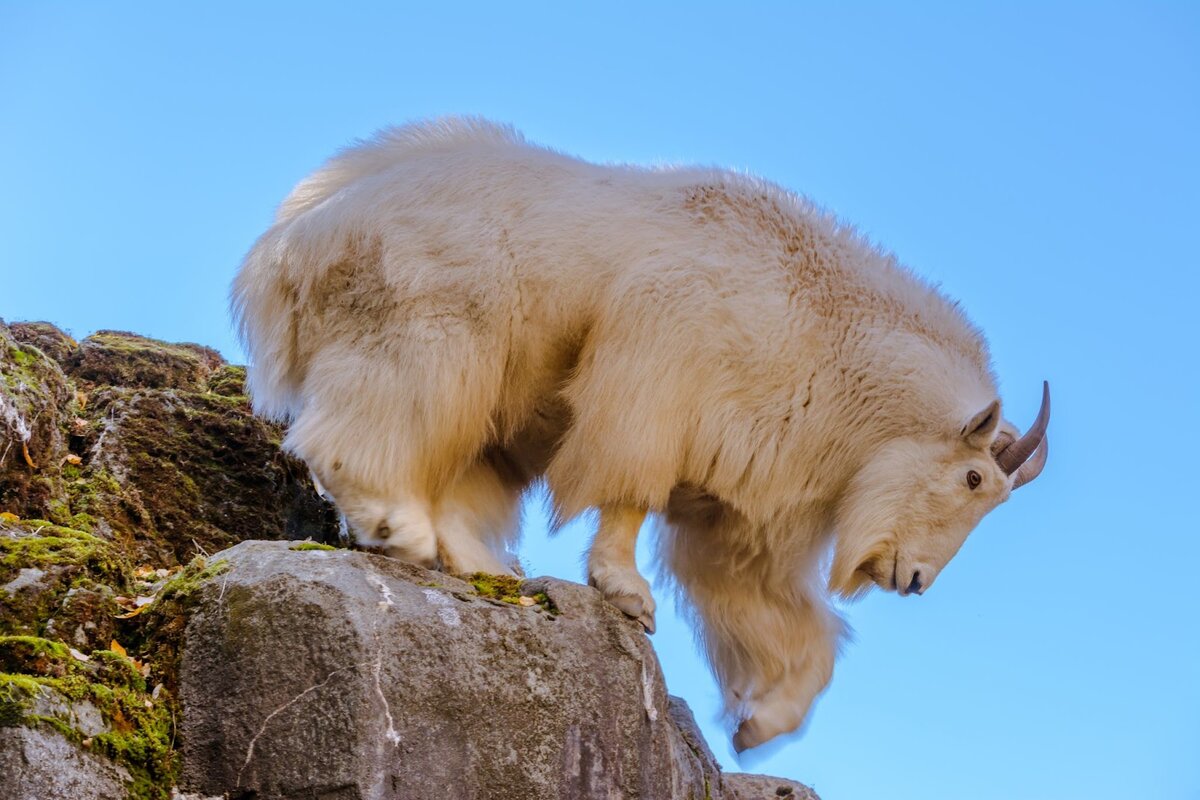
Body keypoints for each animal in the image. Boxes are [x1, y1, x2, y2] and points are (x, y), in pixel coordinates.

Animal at [231, 118, 1051, 753]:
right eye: (974, 479)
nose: (912, 580)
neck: (828, 333)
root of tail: (289, 246)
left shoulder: (739, 505)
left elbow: (772, 612)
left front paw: (759, 725)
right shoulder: (657, 376)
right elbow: (628, 494)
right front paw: (627, 595)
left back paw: (479, 565)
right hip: (431, 330)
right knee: (365, 426)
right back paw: (396, 529)